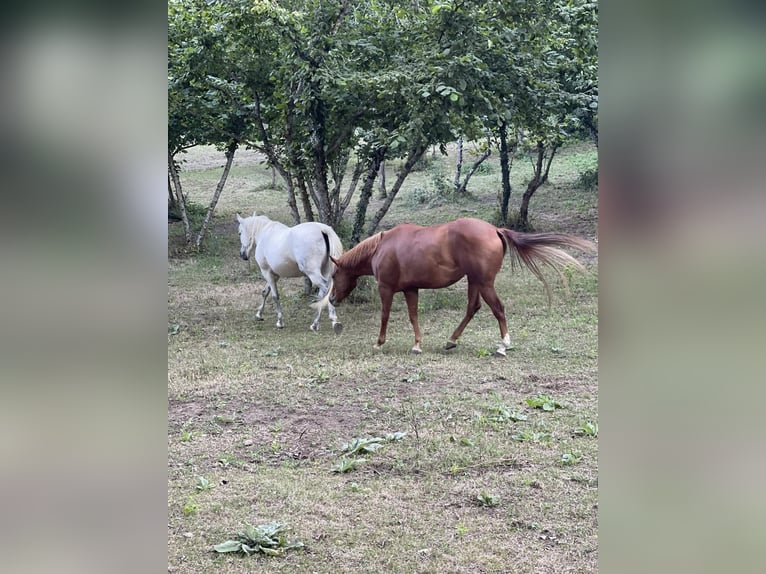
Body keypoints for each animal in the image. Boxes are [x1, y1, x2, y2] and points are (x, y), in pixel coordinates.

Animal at [316, 218, 592, 356]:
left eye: (335, 274)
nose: (332, 300)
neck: (382, 247)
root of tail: (495, 230)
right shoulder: (410, 289)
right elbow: (413, 316)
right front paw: (417, 345)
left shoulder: (386, 288)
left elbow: (384, 315)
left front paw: (379, 342)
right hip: (474, 281)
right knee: (473, 308)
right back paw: (451, 340)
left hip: (484, 282)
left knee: (498, 309)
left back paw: (503, 345)